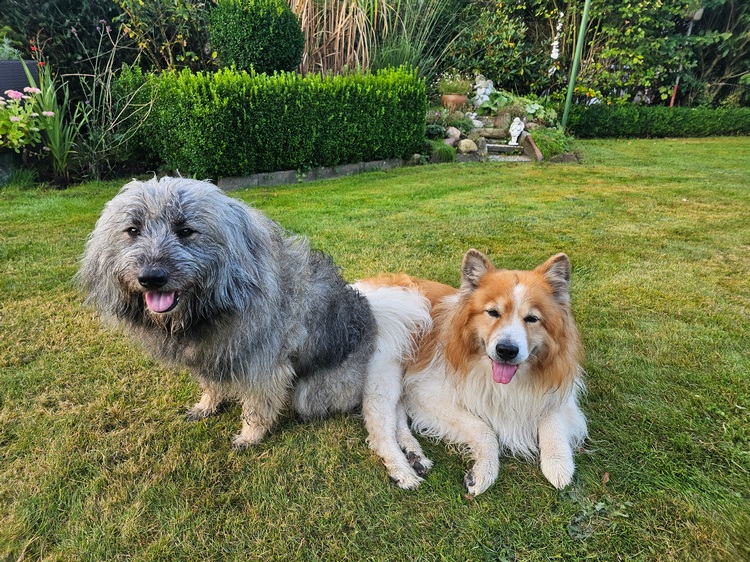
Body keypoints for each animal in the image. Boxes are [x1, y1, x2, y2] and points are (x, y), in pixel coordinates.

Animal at [76, 178, 434, 486]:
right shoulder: (209, 356)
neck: (213, 307)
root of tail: (372, 316)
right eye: (132, 230)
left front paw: (250, 436)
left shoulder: (265, 368)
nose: (151, 277)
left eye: (186, 230)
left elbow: (257, 408)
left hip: (314, 394)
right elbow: (212, 385)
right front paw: (207, 405)